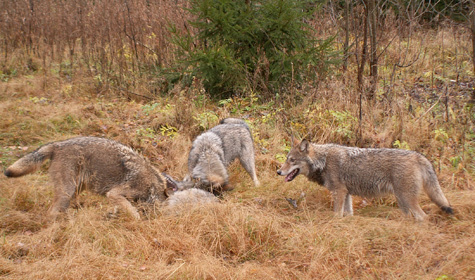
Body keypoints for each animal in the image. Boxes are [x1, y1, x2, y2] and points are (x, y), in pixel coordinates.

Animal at [4, 137, 185, 220]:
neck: (152, 185)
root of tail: (57, 144)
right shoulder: (114, 194)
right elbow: (133, 212)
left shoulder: (116, 198)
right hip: (67, 192)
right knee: (51, 212)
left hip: (74, 191)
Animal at [278, 138, 456, 221]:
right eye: (287, 159)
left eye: (292, 160)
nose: (278, 171)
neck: (324, 161)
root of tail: (418, 156)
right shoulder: (346, 194)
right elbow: (348, 215)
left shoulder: (339, 193)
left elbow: (336, 215)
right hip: (402, 201)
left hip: (407, 199)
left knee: (423, 217)